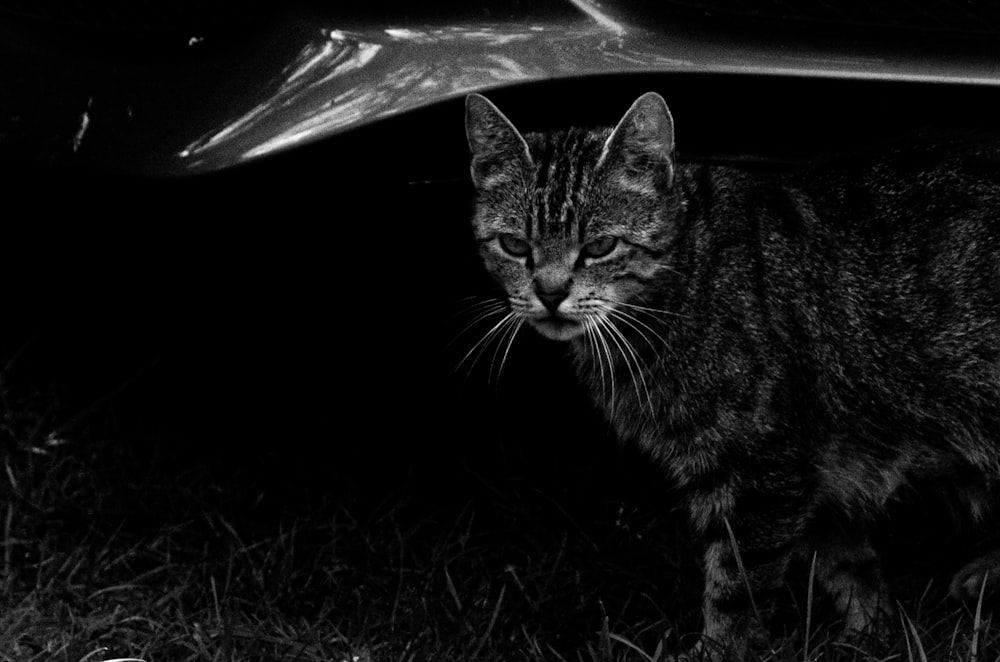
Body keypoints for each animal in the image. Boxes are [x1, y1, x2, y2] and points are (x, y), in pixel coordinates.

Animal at [464, 91, 1000, 660]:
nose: (548, 292)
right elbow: (848, 566)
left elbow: (737, 587)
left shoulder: (763, 469)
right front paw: (870, 635)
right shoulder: (811, 471)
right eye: (515, 246)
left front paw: (717, 651)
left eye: (600, 247)